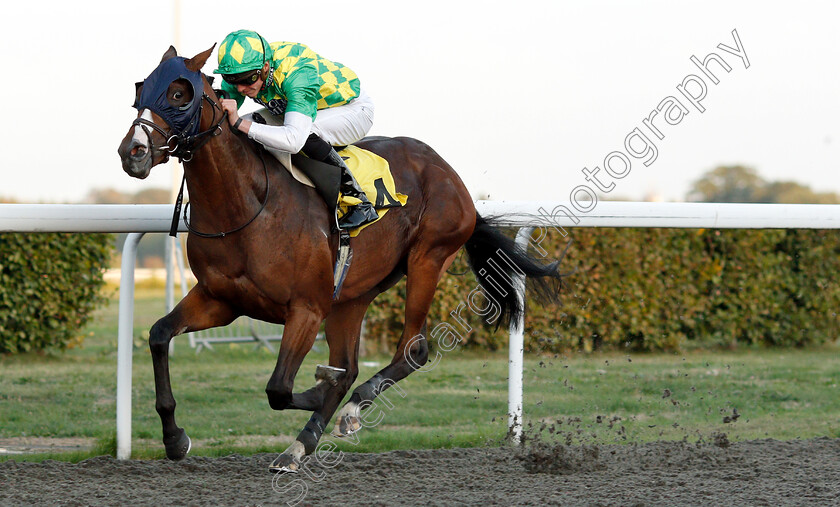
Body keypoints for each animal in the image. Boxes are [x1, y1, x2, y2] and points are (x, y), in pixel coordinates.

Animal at [116, 45, 564, 474]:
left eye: (178, 94)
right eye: (140, 91)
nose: (132, 151)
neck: (247, 205)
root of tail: (450, 175)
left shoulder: (306, 308)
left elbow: (280, 388)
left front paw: (319, 391)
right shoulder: (220, 300)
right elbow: (159, 335)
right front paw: (175, 438)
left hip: (427, 258)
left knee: (412, 350)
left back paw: (346, 410)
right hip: (351, 295)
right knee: (349, 364)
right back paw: (301, 444)